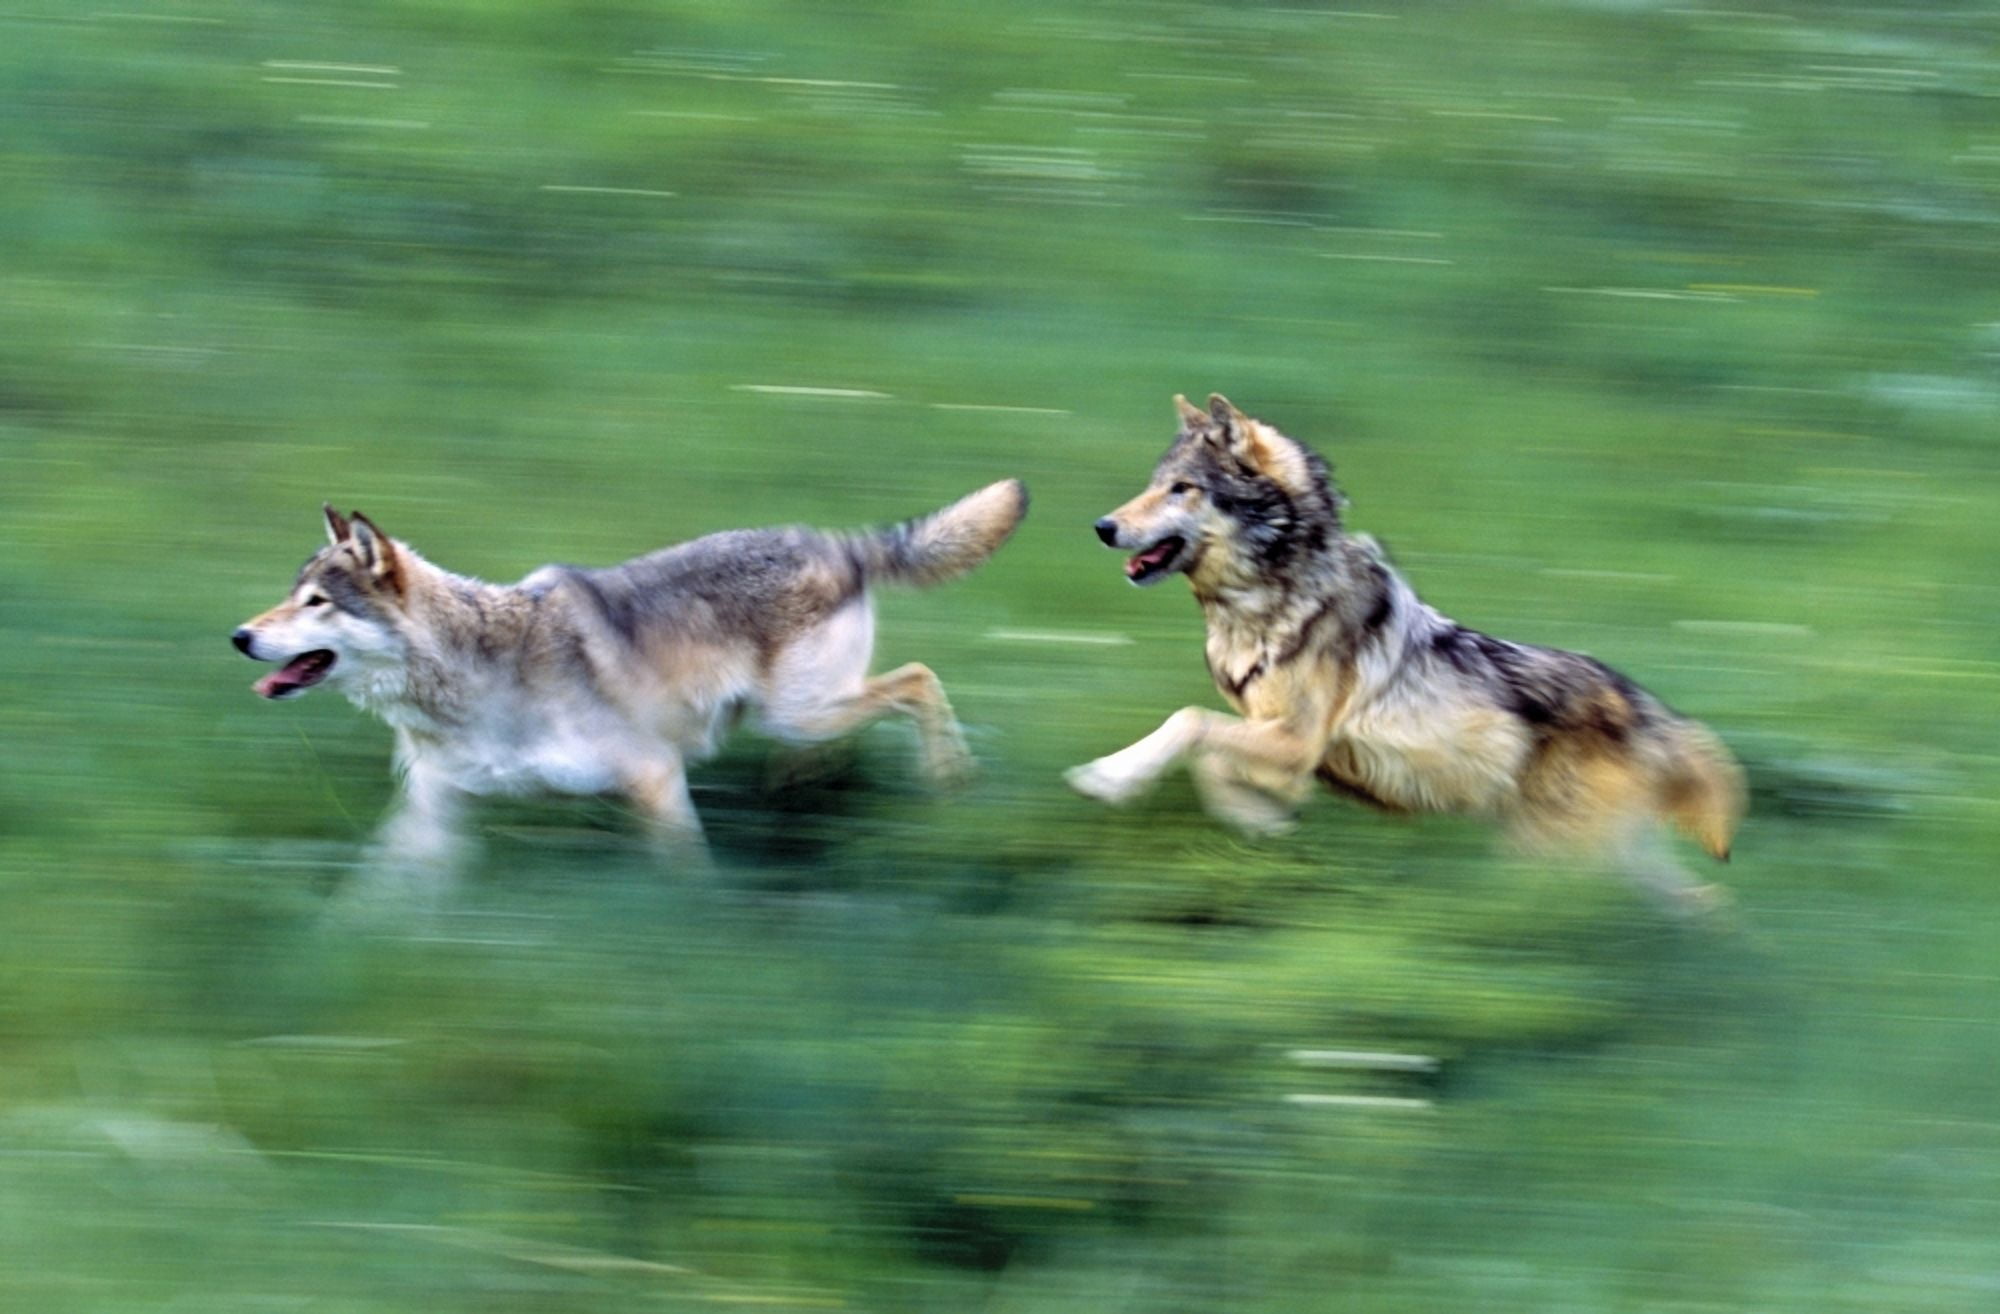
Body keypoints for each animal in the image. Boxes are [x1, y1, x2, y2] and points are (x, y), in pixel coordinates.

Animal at [233, 481, 1027, 886]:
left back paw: (950, 781)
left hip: (803, 710)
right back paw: (804, 795)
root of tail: (839, 540)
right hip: (795, 715)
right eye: (290, 595)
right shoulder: (434, 808)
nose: (239, 636)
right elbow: (375, 894)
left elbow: (687, 874)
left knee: (919, 679)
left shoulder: (654, 776)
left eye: (317, 603)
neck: (472, 672)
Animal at [1065, 394, 1743, 911]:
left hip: (1553, 852)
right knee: (1704, 903)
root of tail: (1652, 711)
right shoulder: (1283, 746)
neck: (1270, 602)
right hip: (1594, 853)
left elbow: (1189, 723)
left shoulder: (1296, 740)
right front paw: (1263, 822)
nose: (1101, 527)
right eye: (1151, 486)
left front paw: (1110, 777)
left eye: (1183, 489)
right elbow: (1213, 758)